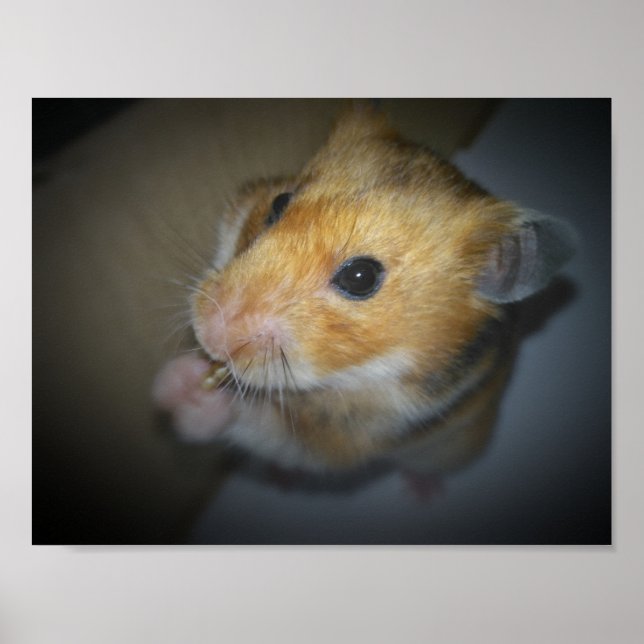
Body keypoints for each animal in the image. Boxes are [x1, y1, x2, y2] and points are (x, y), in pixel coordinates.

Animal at [153, 105, 575, 483]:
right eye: (278, 203)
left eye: (361, 277)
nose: (209, 333)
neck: (358, 374)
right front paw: (180, 379)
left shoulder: (349, 440)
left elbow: (268, 429)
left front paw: (186, 389)